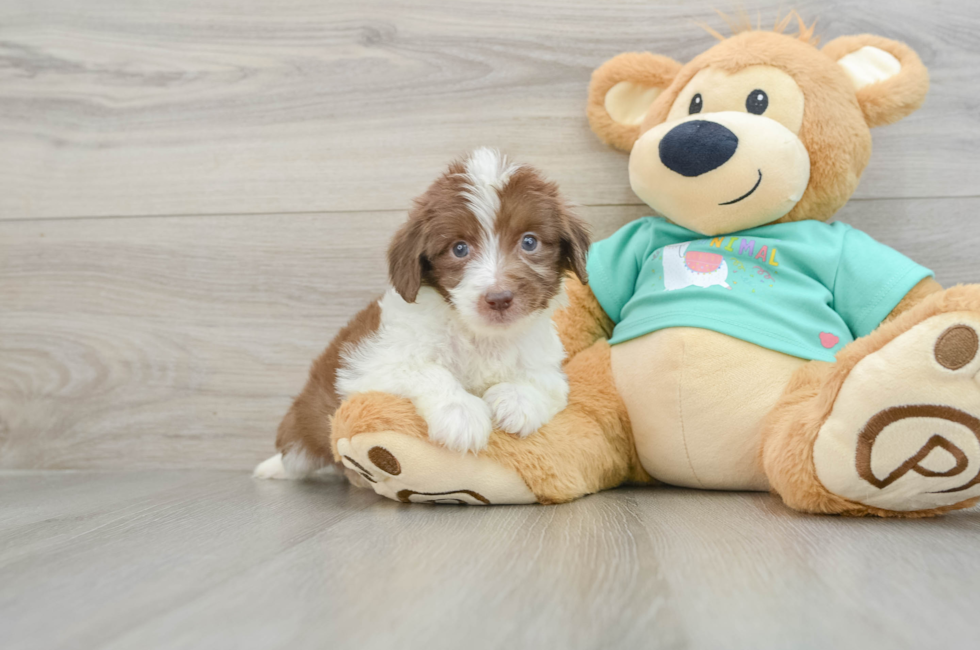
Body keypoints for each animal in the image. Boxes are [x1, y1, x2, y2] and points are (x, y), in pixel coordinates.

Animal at [255, 149, 588, 478]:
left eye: (529, 242)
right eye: (459, 249)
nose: (499, 298)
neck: (481, 336)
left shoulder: (545, 365)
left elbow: (546, 385)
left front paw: (517, 400)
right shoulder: (369, 366)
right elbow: (427, 370)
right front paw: (461, 412)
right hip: (306, 424)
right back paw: (270, 468)